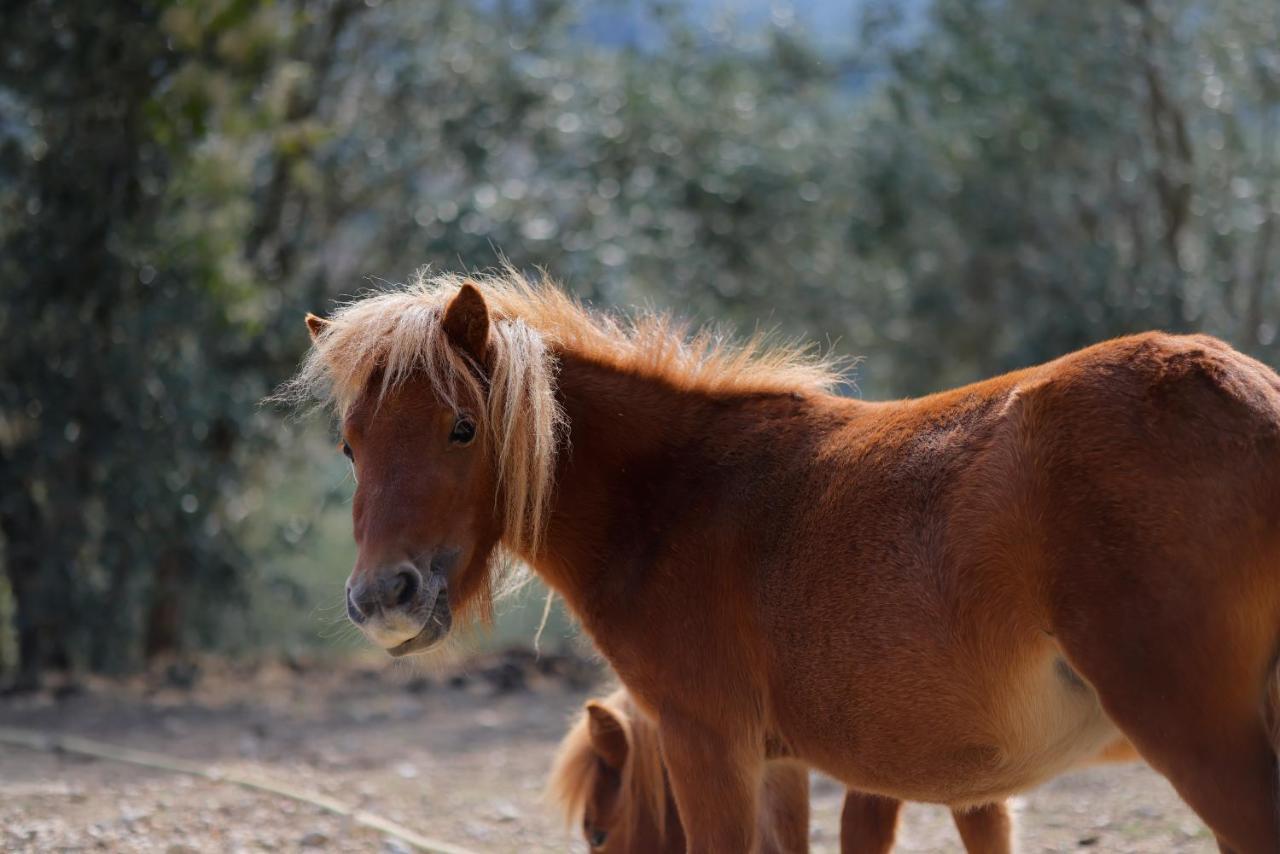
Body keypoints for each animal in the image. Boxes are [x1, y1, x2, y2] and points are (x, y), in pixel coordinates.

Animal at [288, 270, 1280, 850]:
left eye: (462, 428)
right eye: (349, 446)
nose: (384, 597)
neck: (679, 499)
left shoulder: (709, 745)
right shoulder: (790, 767)